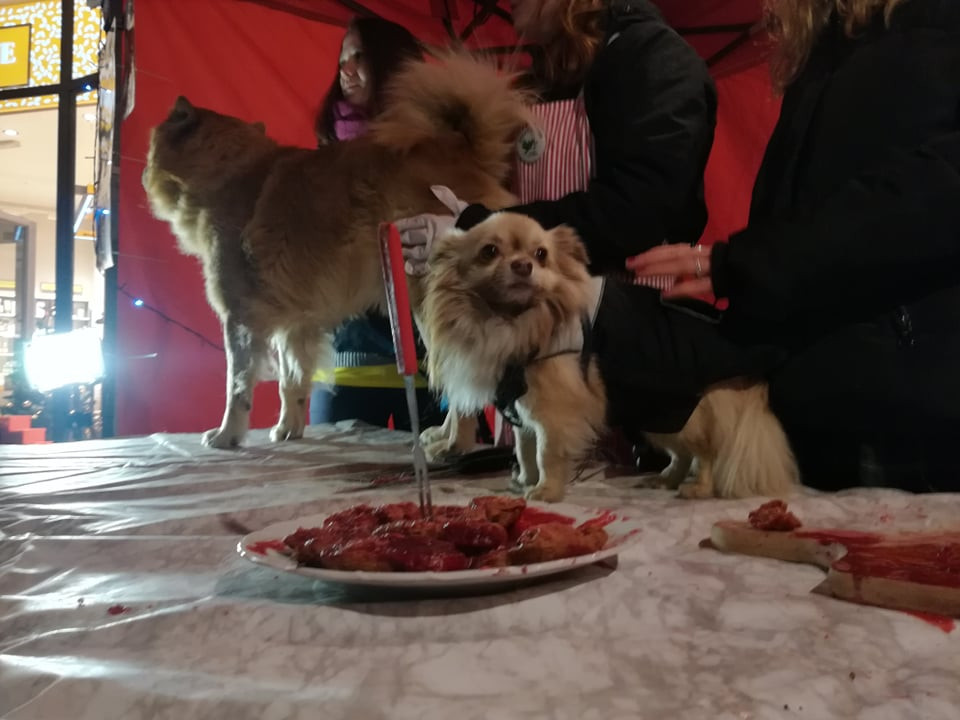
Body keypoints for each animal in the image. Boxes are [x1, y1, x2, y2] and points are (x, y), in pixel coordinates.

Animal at [142, 56, 529, 450]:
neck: (228, 172)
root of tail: (465, 152)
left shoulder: (240, 319)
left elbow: (237, 384)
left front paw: (227, 435)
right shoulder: (294, 323)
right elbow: (291, 381)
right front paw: (288, 430)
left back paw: (454, 443)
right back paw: (441, 435)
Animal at [421, 212, 799, 502]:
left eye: (541, 254)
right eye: (489, 252)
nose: (523, 265)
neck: (515, 322)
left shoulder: (554, 414)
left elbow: (545, 454)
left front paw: (546, 491)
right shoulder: (524, 414)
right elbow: (524, 451)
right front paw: (525, 481)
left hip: (684, 414)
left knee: (704, 453)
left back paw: (697, 489)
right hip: (658, 415)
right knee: (683, 454)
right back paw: (665, 479)